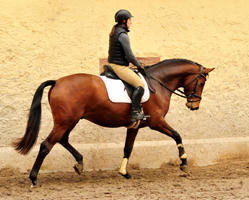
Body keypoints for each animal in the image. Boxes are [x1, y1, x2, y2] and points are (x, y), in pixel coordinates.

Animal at [12, 58, 214, 187]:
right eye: (201, 83)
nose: (193, 106)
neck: (157, 83)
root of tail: (57, 82)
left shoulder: (135, 126)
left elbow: (128, 148)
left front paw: (124, 172)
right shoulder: (157, 122)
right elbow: (177, 135)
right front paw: (184, 162)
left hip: (70, 121)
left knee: (62, 140)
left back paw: (79, 162)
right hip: (64, 122)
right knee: (46, 145)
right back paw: (34, 178)